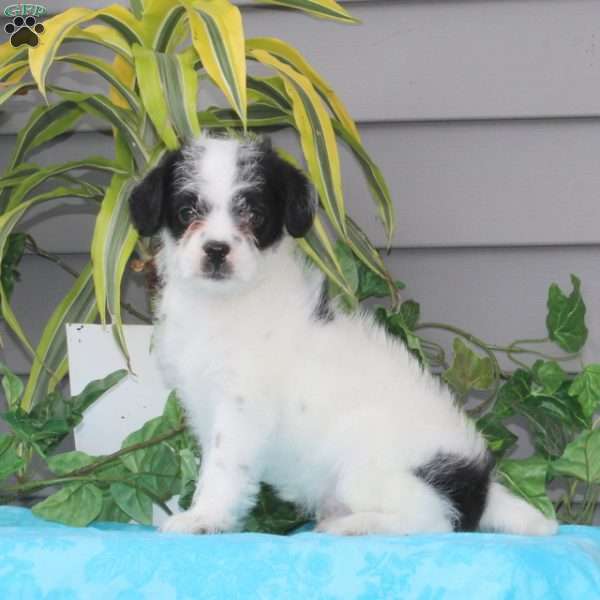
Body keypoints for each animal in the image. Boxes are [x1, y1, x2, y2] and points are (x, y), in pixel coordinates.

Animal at [127, 134, 556, 536]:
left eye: (254, 214)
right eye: (187, 212)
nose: (216, 250)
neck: (225, 302)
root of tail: (480, 486)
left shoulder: (240, 408)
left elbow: (222, 469)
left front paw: (204, 517)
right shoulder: (202, 404)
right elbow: (210, 467)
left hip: (366, 469)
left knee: (434, 521)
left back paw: (354, 525)